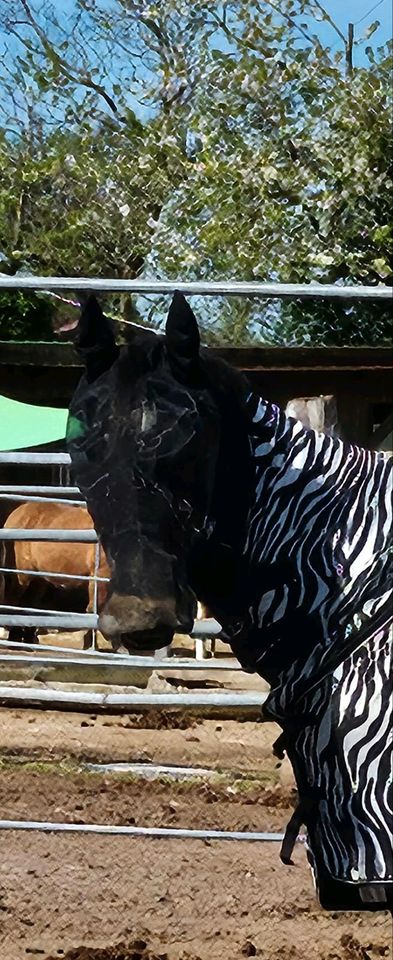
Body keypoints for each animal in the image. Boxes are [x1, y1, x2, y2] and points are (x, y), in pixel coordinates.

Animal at [3, 498, 110, 648]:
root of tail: (15, 514)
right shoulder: (100, 576)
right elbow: (94, 610)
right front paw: (90, 645)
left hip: (38, 579)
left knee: (30, 604)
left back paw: (28, 641)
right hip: (22, 575)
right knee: (15, 601)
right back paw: (14, 639)